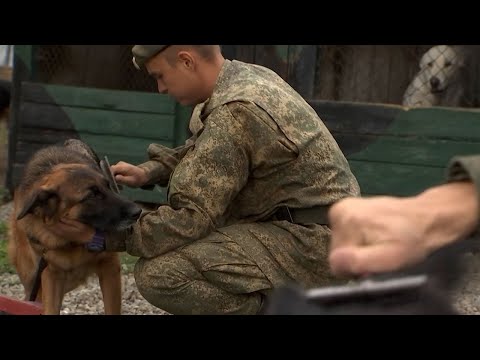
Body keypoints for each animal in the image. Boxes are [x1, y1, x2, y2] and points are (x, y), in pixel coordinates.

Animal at [7, 139, 142, 314]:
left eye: (107, 186)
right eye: (92, 195)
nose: (138, 212)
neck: (72, 244)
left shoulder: (110, 266)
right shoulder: (50, 276)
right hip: (33, 280)